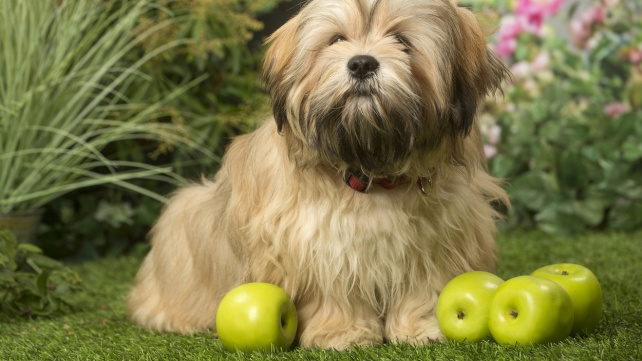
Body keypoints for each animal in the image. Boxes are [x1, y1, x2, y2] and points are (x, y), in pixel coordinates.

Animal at [129, 0, 510, 348]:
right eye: (336, 39)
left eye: (401, 40)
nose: (361, 63)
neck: (369, 167)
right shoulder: (315, 241)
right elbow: (335, 289)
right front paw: (343, 333)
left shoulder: (437, 238)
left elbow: (422, 284)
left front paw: (420, 329)